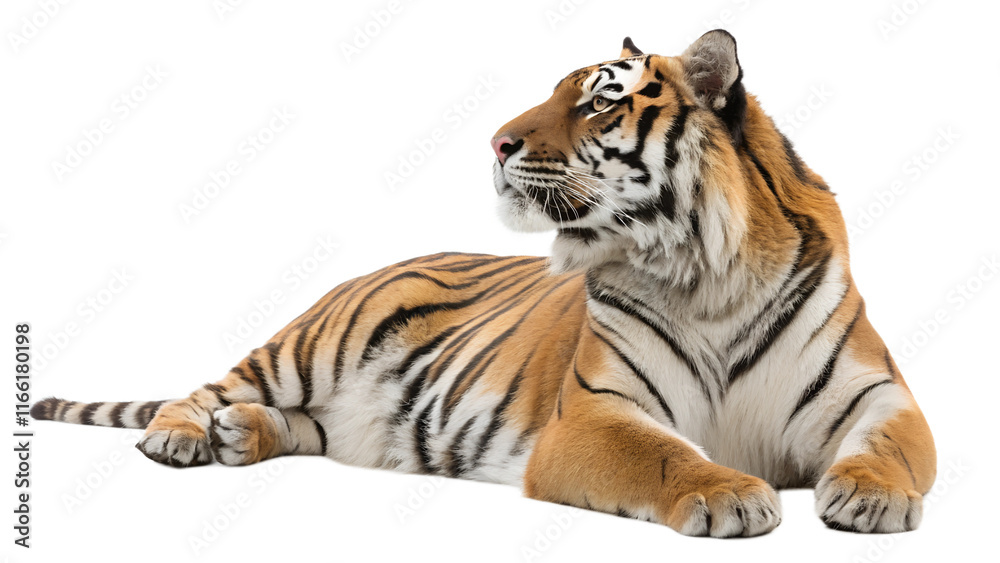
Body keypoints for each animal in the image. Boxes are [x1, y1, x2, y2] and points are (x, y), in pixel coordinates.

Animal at [31, 30, 935, 537]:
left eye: (600, 104)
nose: (496, 142)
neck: (706, 274)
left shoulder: (877, 395)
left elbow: (891, 447)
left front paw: (869, 498)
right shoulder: (596, 415)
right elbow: (667, 454)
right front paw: (730, 493)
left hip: (349, 418)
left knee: (304, 425)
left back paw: (240, 435)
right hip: (306, 345)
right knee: (204, 388)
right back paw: (186, 435)